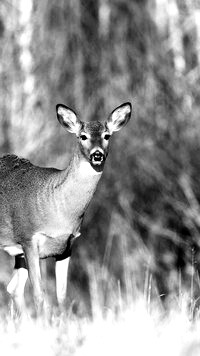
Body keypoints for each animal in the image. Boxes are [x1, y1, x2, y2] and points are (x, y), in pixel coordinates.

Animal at [0, 101, 132, 316]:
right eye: (83, 136)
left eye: (107, 135)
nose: (97, 155)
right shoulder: (28, 239)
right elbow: (39, 294)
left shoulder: (66, 247)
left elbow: (61, 295)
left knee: (14, 288)